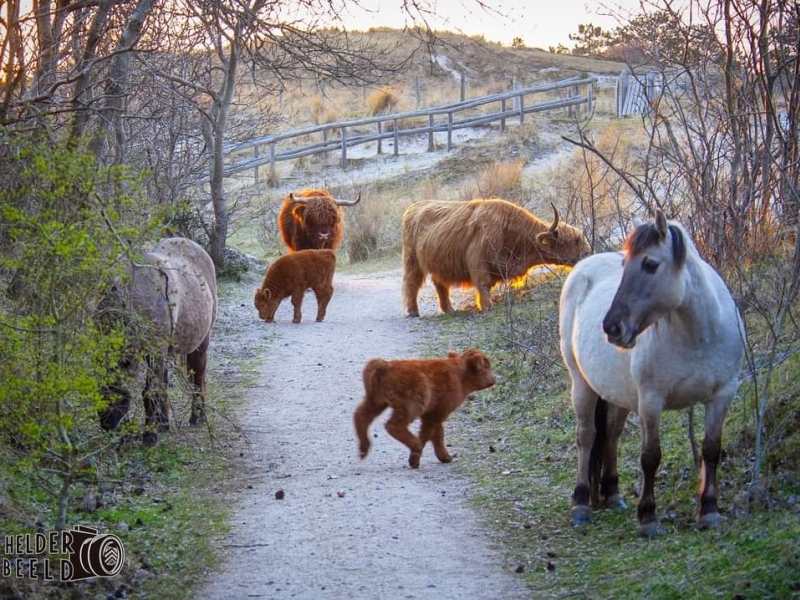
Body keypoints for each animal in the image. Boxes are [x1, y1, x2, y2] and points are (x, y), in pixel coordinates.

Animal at [354, 346, 494, 468]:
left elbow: (438, 434)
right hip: (411, 405)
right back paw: (415, 446)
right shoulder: (435, 413)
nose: (494, 379)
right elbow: (426, 433)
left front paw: (445, 457)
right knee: (393, 425)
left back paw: (363, 449)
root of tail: (386, 366)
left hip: (377, 400)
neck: (459, 374)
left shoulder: (434, 412)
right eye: (486, 367)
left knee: (361, 415)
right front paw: (414, 460)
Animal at [404, 199, 592, 316]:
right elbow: (483, 284)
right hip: (412, 260)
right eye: (575, 240)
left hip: (440, 264)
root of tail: (414, 207)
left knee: (440, 283)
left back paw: (448, 309)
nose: (588, 252)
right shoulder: (479, 261)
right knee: (411, 283)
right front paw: (487, 306)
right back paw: (413, 311)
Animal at [560, 212, 748, 540]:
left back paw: (612, 494)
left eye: (650, 264)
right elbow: (650, 457)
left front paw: (709, 511)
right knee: (586, 438)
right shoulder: (651, 401)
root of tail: (581, 268)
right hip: (582, 386)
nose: (612, 327)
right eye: (624, 265)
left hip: (618, 394)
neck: (698, 335)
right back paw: (581, 504)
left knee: (611, 435)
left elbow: (711, 450)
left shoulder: (722, 395)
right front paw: (648, 517)